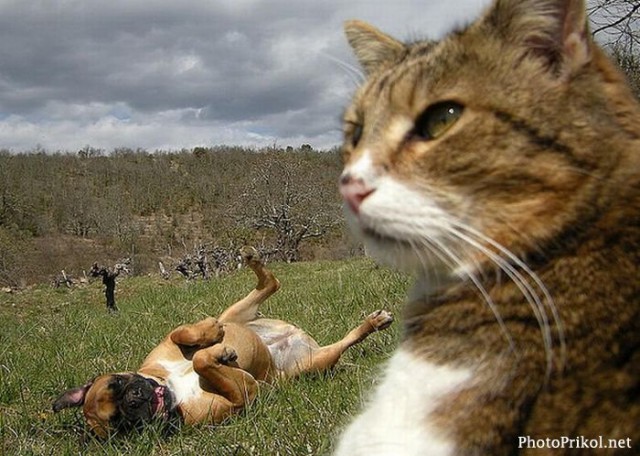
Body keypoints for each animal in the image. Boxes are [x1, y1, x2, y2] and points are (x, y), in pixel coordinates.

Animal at [52, 249, 392, 438]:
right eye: (120, 422)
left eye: (117, 382)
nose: (135, 400)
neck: (172, 387)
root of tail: (294, 338)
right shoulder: (243, 394)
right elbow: (204, 361)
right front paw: (221, 355)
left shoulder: (166, 345)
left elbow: (183, 335)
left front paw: (212, 337)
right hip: (312, 364)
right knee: (340, 341)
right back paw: (373, 324)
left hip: (236, 312)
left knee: (269, 283)